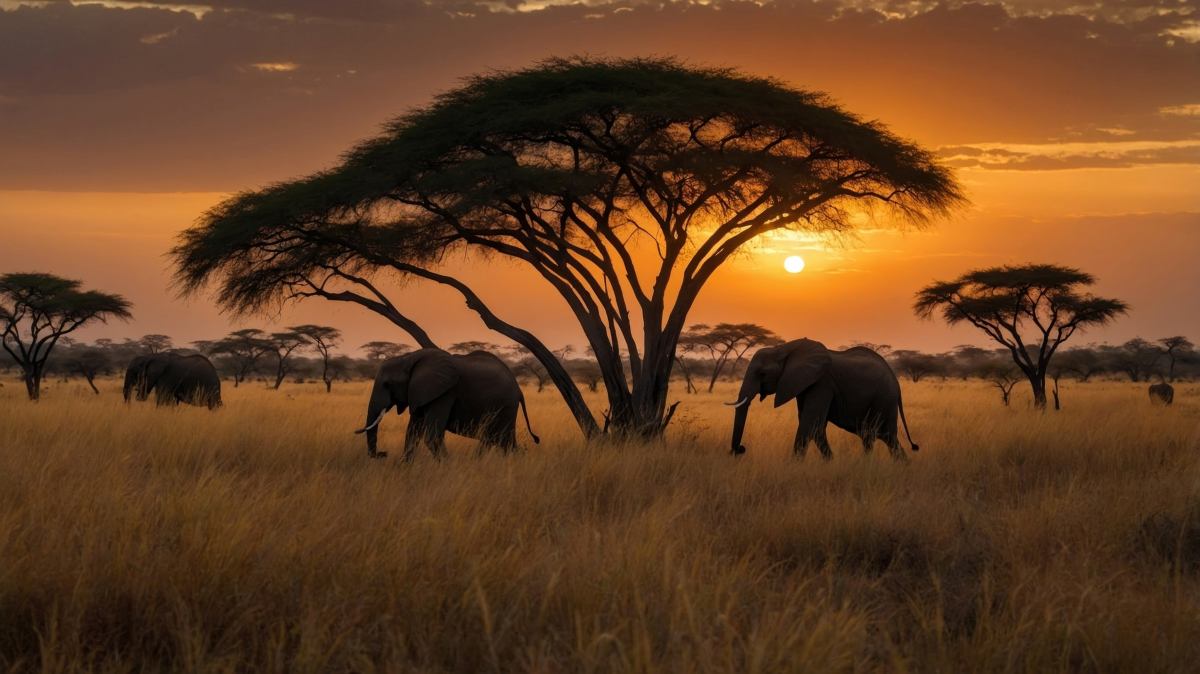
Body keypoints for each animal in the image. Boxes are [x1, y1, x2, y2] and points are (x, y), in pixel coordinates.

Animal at [354, 348, 539, 460]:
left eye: (387, 385)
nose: (383, 453)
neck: (408, 358)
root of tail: (519, 389)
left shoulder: (444, 394)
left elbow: (432, 436)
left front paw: (447, 469)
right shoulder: (421, 393)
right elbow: (412, 432)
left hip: (505, 406)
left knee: (500, 439)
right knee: (502, 441)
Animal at [727, 338, 918, 461]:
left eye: (762, 374)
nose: (741, 449)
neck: (784, 348)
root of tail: (896, 381)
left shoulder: (822, 383)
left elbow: (810, 423)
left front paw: (794, 466)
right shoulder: (803, 384)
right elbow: (815, 426)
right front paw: (831, 462)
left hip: (884, 399)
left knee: (885, 436)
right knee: (875, 437)